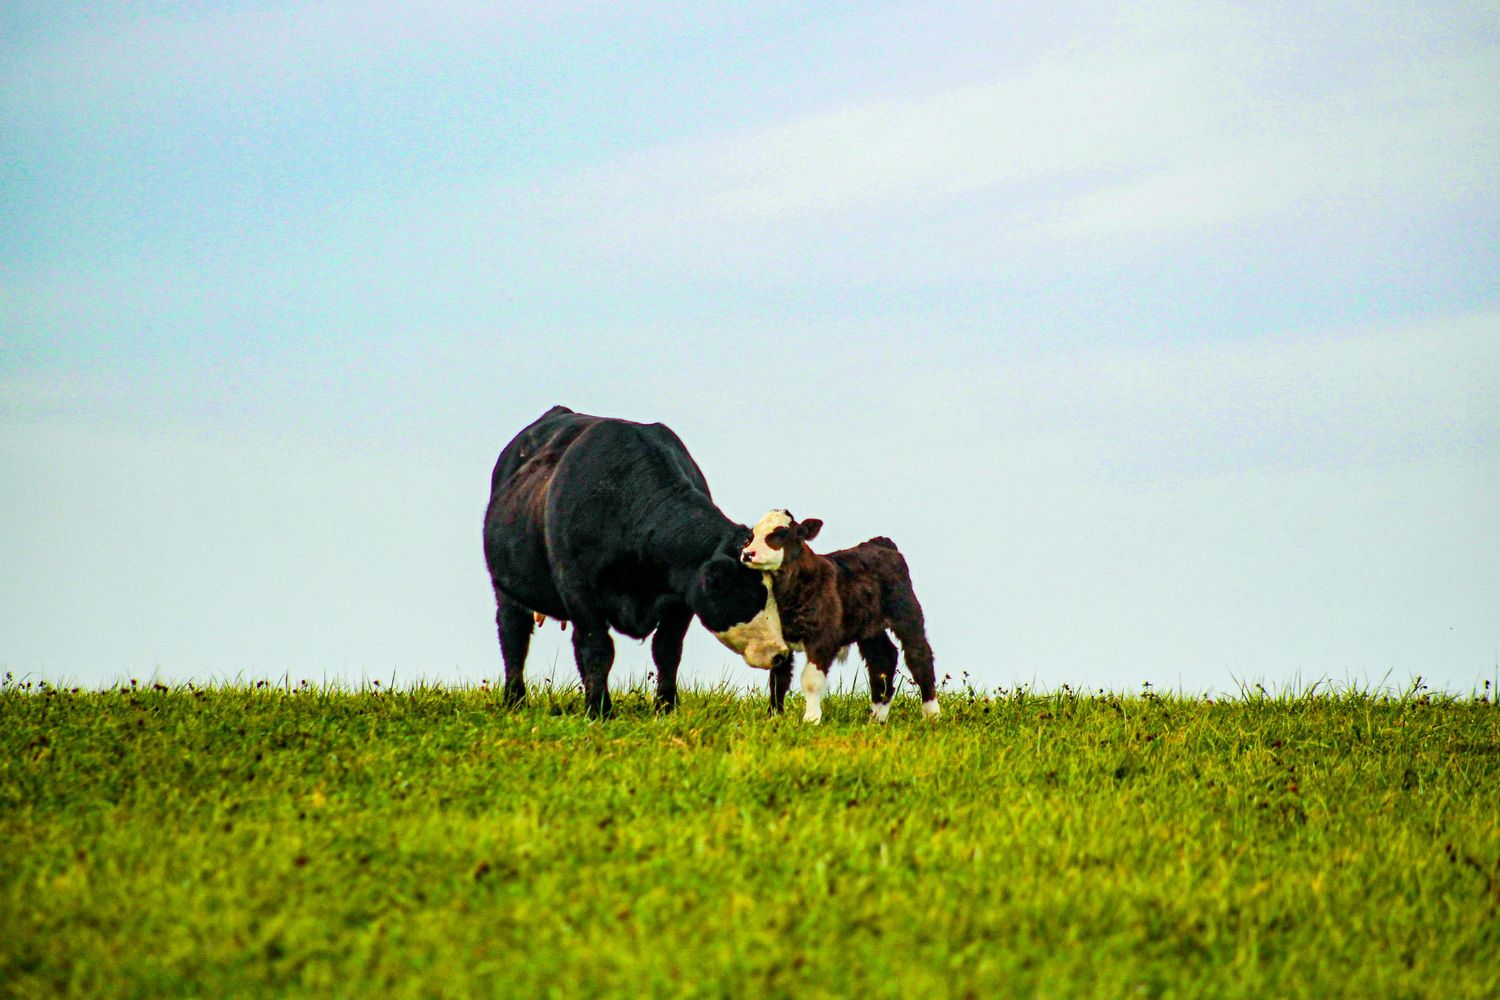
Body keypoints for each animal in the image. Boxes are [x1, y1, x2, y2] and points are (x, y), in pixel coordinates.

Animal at [483, 406, 787, 717]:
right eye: (752, 595)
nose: (782, 654)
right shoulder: (578, 590)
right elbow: (597, 649)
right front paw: (599, 710)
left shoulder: (681, 598)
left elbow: (667, 650)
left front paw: (666, 706)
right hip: (506, 588)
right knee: (513, 634)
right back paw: (515, 700)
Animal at [740, 509, 938, 724]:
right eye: (750, 536)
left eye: (781, 533)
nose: (748, 553)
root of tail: (880, 543)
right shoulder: (780, 638)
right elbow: (778, 680)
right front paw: (774, 717)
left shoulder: (822, 638)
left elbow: (810, 680)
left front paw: (811, 719)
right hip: (869, 628)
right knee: (883, 658)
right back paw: (876, 719)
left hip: (906, 611)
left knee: (919, 656)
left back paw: (932, 715)